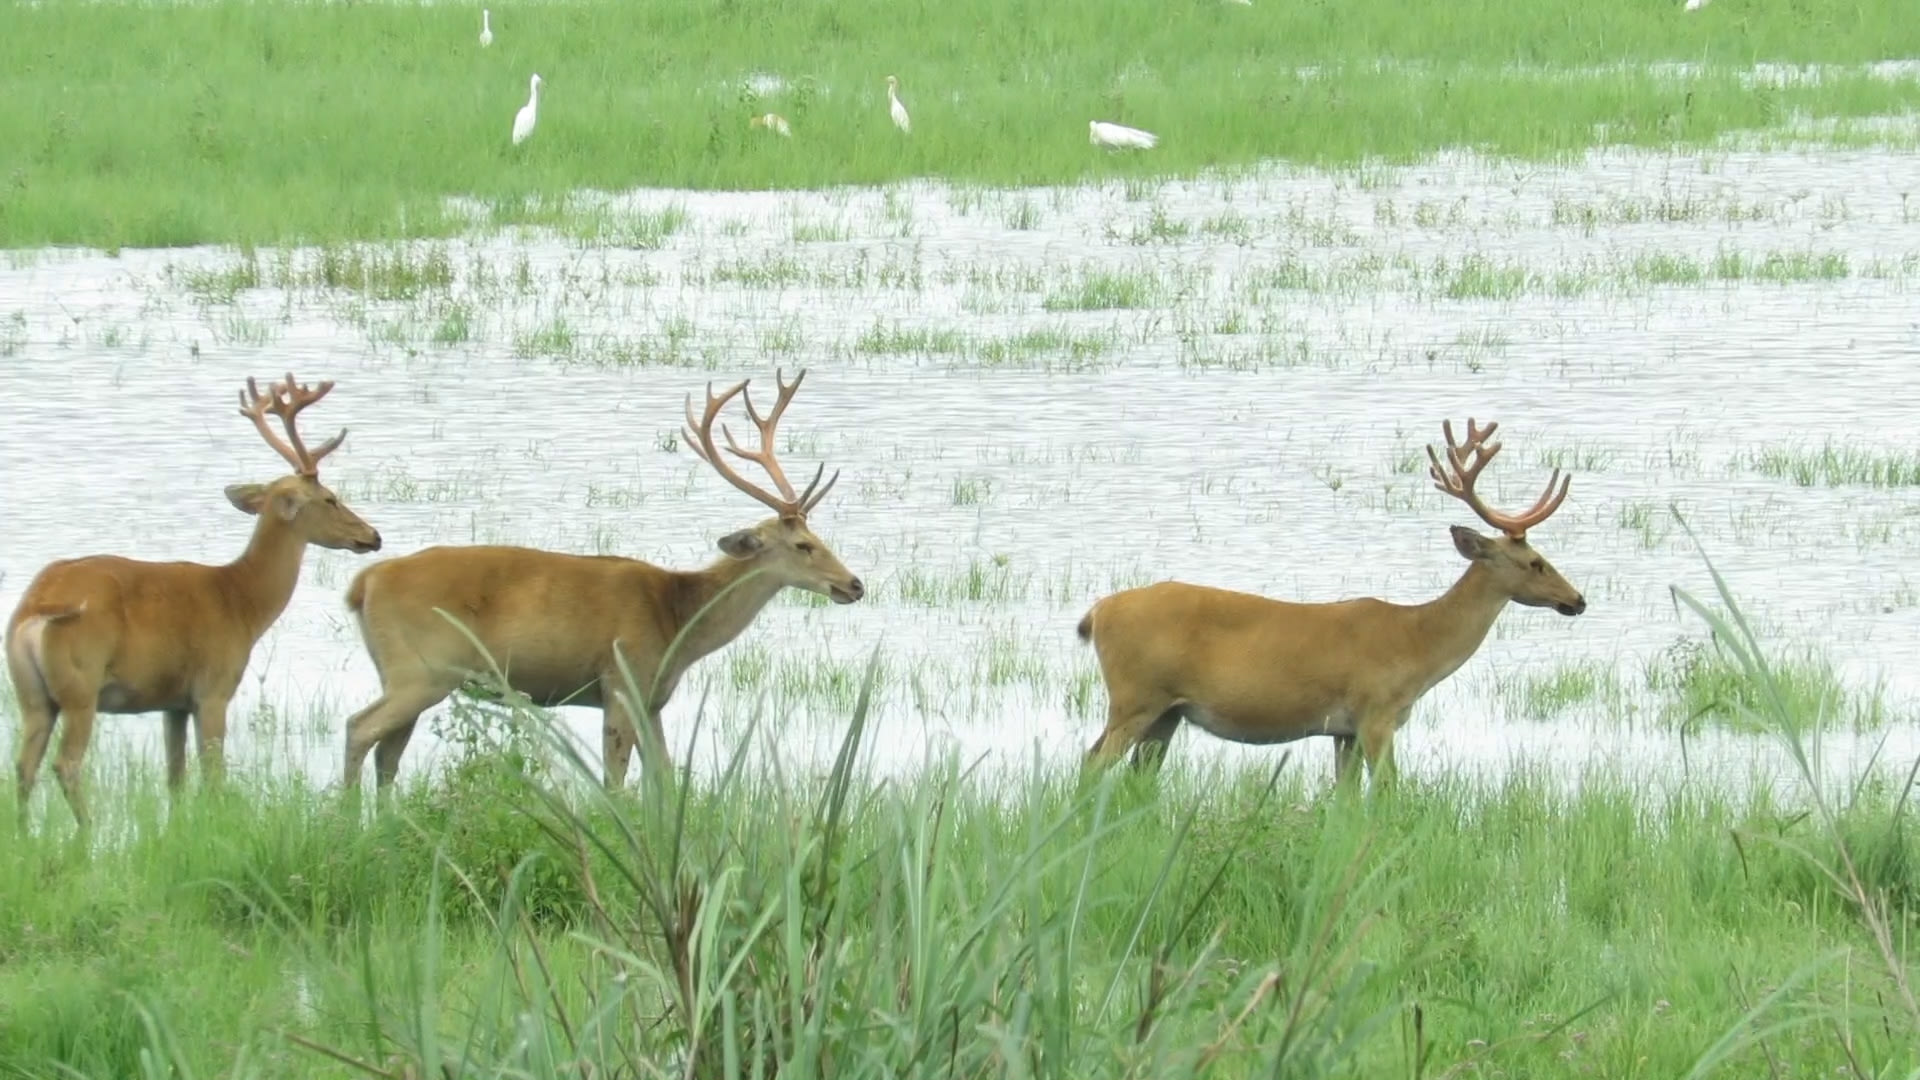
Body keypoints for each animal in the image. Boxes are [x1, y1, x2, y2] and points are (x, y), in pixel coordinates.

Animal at [5, 374, 382, 830]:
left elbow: (175, 778)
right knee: (66, 764)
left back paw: (25, 834)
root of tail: (36, 609)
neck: (241, 602)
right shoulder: (213, 689)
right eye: (330, 498)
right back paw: (87, 830)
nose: (373, 536)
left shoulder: (173, 703)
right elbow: (212, 774)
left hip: (31, 695)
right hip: (81, 686)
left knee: (23, 766)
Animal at [338, 368, 865, 794]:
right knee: (359, 728)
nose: (855, 584)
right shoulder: (621, 680)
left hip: (403, 671)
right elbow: (614, 779)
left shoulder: (653, 700)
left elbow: (663, 775)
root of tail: (363, 583)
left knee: (388, 752)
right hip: (423, 668)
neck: (678, 624)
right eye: (803, 545)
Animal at [1076, 418, 1587, 788]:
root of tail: (1098, 612)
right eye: (1537, 563)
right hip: (1135, 695)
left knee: (1137, 777)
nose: (1578, 600)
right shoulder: (1375, 713)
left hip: (1168, 712)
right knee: (1092, 761)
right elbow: (1387, 791)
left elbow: (1344, 798)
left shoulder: (1343, 731)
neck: (1418, 646)